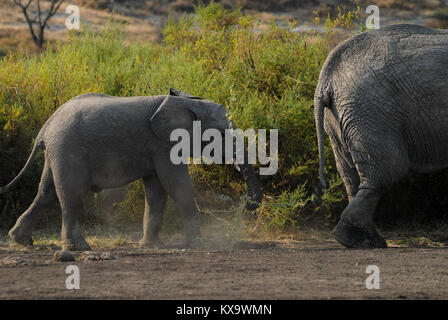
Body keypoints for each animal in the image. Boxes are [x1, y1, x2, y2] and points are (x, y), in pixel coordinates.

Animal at [0, 89, 262, 250]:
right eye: (221, 134)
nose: (247, 204)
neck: (190, 101)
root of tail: (45, 128)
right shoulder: (163, 144)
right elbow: (176, 185)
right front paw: (199, 244)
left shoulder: (155, 148)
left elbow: (157, 190)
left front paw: (151, 246)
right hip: (68, 149)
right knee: (71, 195)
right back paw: (79, 248)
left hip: (56, 152)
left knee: (46, 193)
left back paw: (22, 240)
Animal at [316, 25, 448, 249]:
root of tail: (327, 77)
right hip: (372, 112)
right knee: (386, 172)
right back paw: (362, 241)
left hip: (338, 118)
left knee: (352, 177)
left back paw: (361, 239)